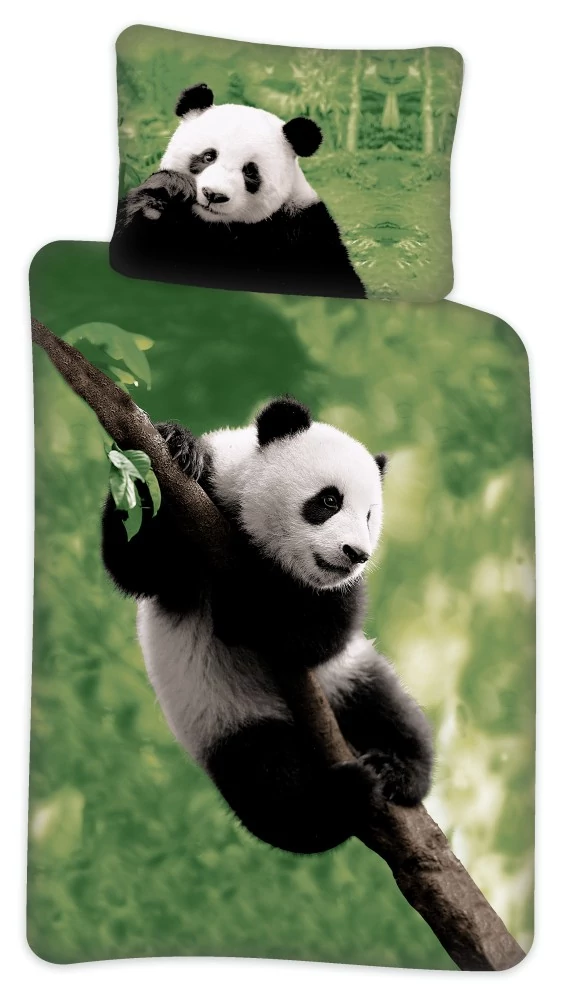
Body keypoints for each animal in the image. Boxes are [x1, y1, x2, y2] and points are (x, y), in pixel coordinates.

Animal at [101, 397, 432, 854]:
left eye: (369, 516)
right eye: (329, 500)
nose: (355, 554)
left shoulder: (333, 596)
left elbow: (323, 633)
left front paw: (246, 608)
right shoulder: (200, 515)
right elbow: (135, 562)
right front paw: (178, 445)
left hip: (346, 680)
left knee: (387, 707)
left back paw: (395, 770)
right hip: (227, 719)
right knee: (270, 783)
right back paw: (341, 796)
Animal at [110, 83, 367, 300]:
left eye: (250, 171)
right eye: (208, 156)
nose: (214, 195)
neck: (218, 227)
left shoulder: (304, 232)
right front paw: (165, 195)